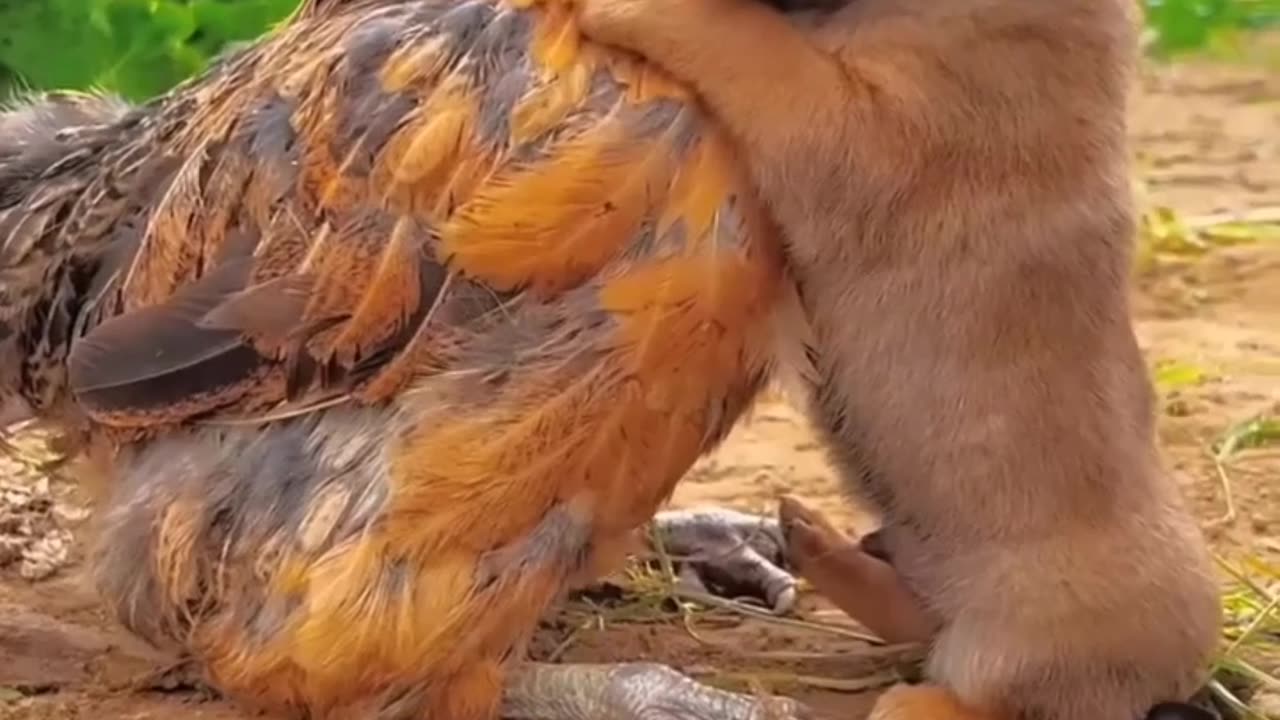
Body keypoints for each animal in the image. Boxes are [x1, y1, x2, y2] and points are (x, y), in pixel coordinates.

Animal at [576, 0, 1223, 712]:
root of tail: (1184, 669)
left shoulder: (859, 124)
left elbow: (755, 47)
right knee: (917, 620)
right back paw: (817, 541)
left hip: (1020, 646)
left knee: (988, 693)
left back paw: (914, 702)